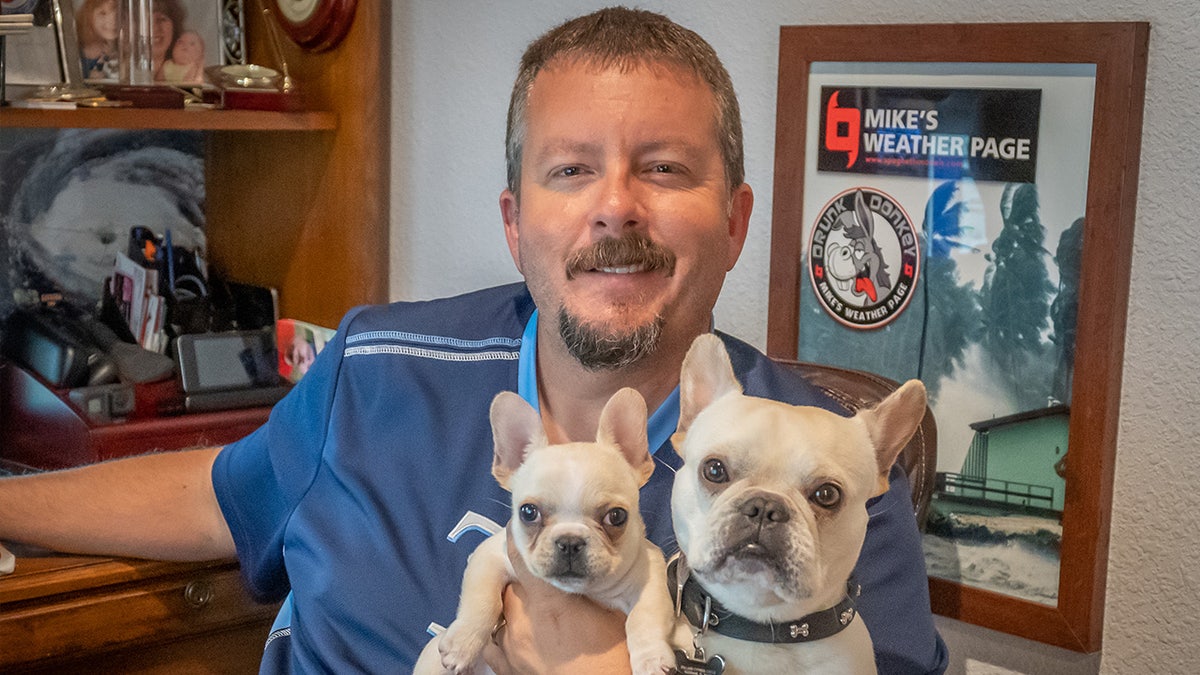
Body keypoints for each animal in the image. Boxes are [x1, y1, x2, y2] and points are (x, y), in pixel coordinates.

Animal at [412, 386, 676, 667]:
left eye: (616, 516)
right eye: (528, 512)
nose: (570, 542)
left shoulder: (649, 579)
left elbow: (644, 619)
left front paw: (651, 658)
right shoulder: (489, 556)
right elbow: (481, 599)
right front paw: (464, 643)